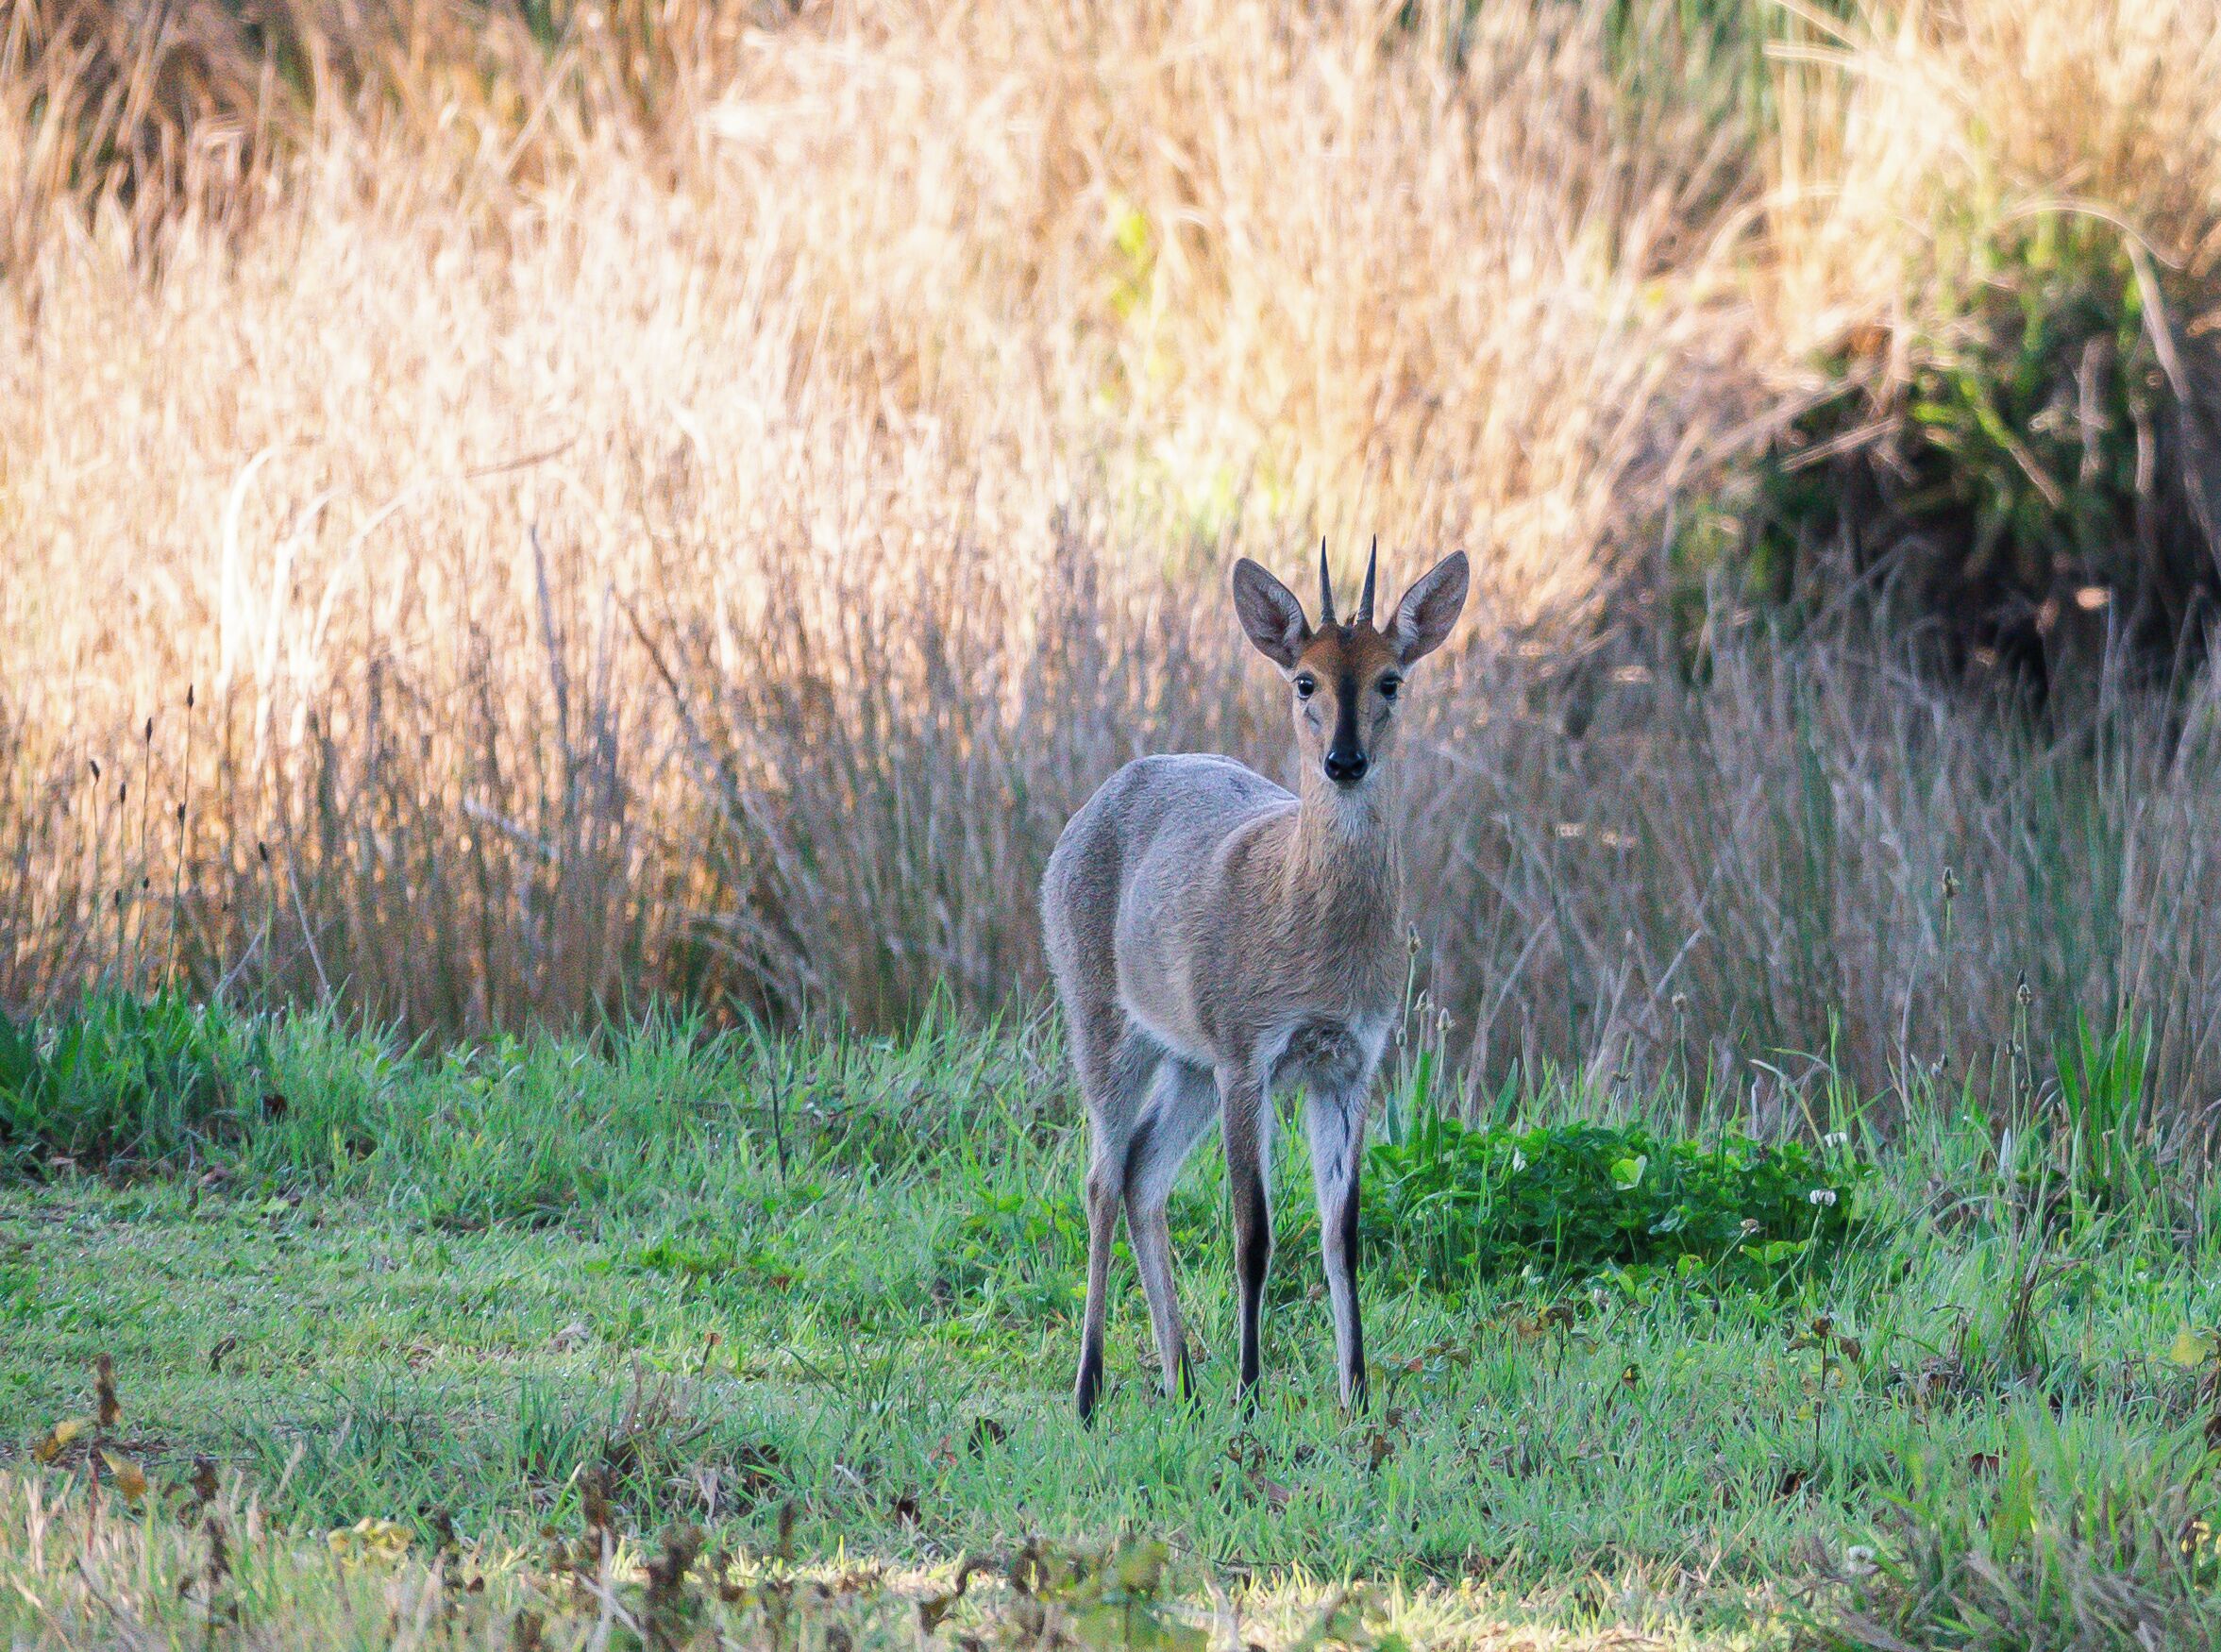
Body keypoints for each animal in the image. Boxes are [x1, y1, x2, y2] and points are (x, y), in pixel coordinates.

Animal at [1041, 540, 1469, 1421]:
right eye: (1303, 680)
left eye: (1390, 679)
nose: (1344, 760)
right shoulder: (1249, 1052)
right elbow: (1253, 1232)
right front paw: (1249, 1391)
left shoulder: (1350, 1061)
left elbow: (1344, 1233)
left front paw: (1356, 1394)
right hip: (1098, 1014)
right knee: (1099, 1178)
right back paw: (1090, 1389)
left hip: (1186, 1059)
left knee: (1141, 1174)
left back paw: (1180, 1380)